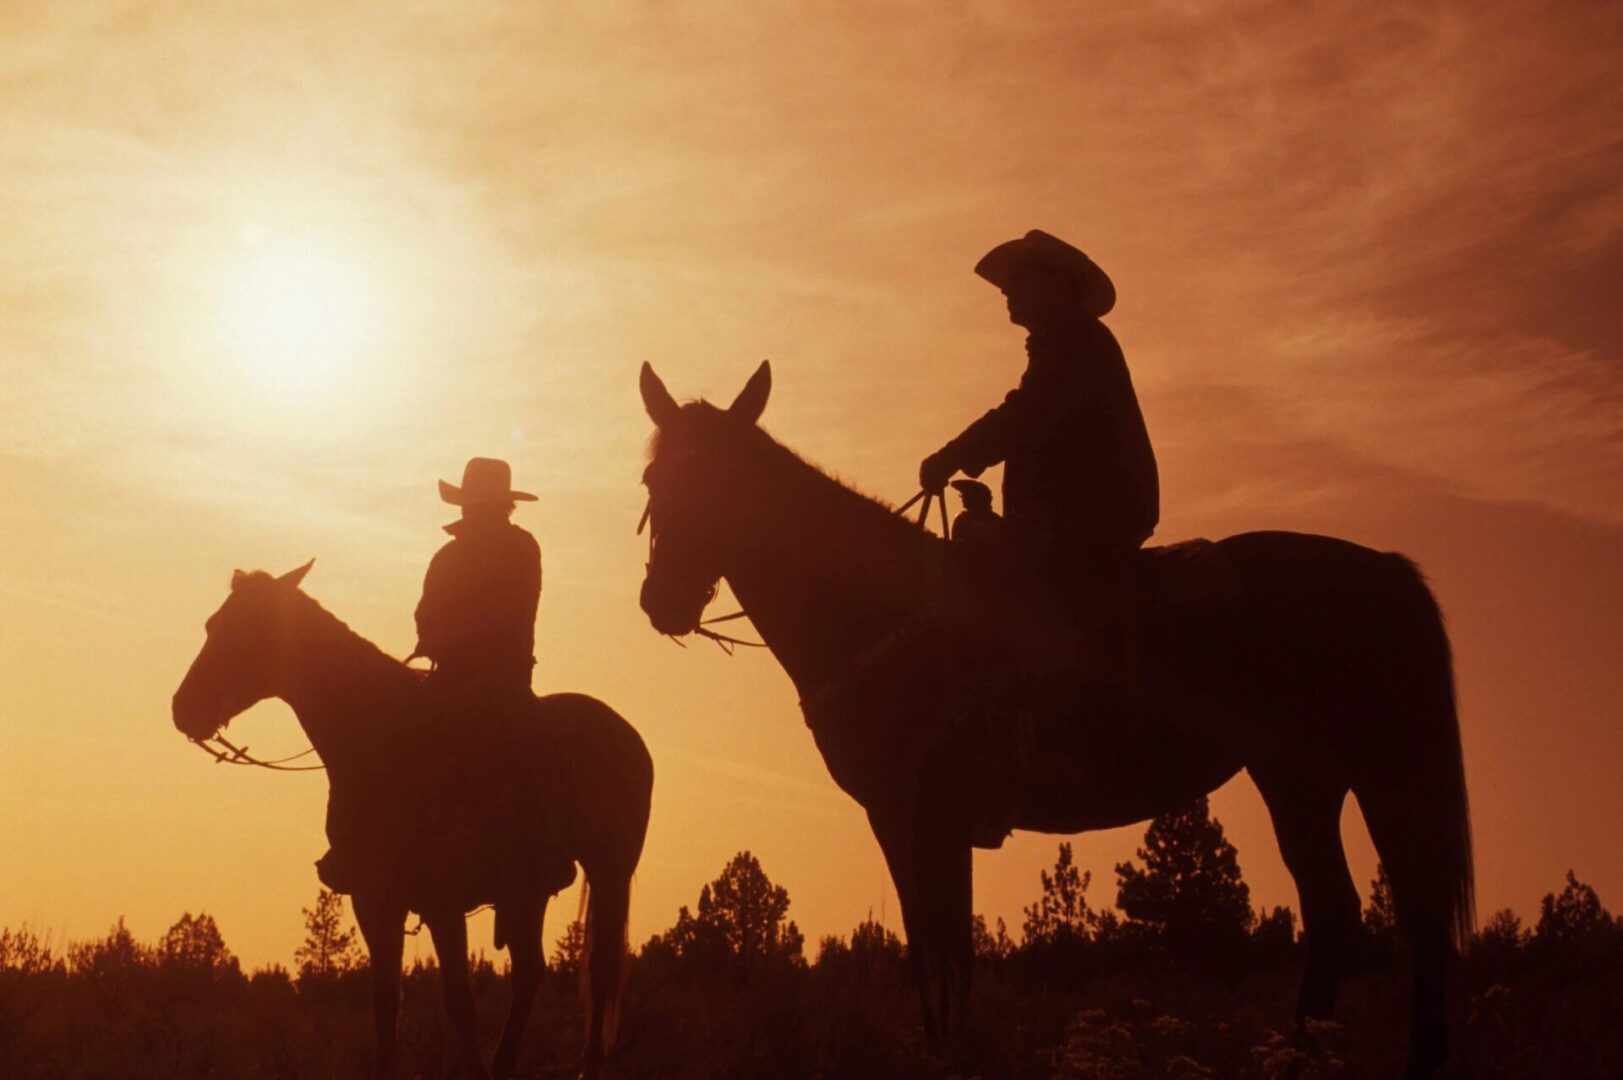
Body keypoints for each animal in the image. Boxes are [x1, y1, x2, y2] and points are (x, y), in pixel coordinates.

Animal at [174, 565, 655, 1078]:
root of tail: (629, 736)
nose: (182, 708)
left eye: (243, 629)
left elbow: (459, 999)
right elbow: (387, 1001)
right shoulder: (374, 898)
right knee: (530, 971)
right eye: (212, 625)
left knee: (600, 968)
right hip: (529, 891)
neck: (381, 740)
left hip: (609, 871)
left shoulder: (442, 900)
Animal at [639, 357, 1480, 1071]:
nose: (662, 602)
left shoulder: (918, 814)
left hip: (1372, 774)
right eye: (653, 476)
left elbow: (938, 952)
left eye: (723, 479)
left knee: (1414, 911)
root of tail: (1384, 570)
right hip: (1300, 779)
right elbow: (941, 952)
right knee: (1339, 909)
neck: (879, 608)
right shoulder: (926, 822)